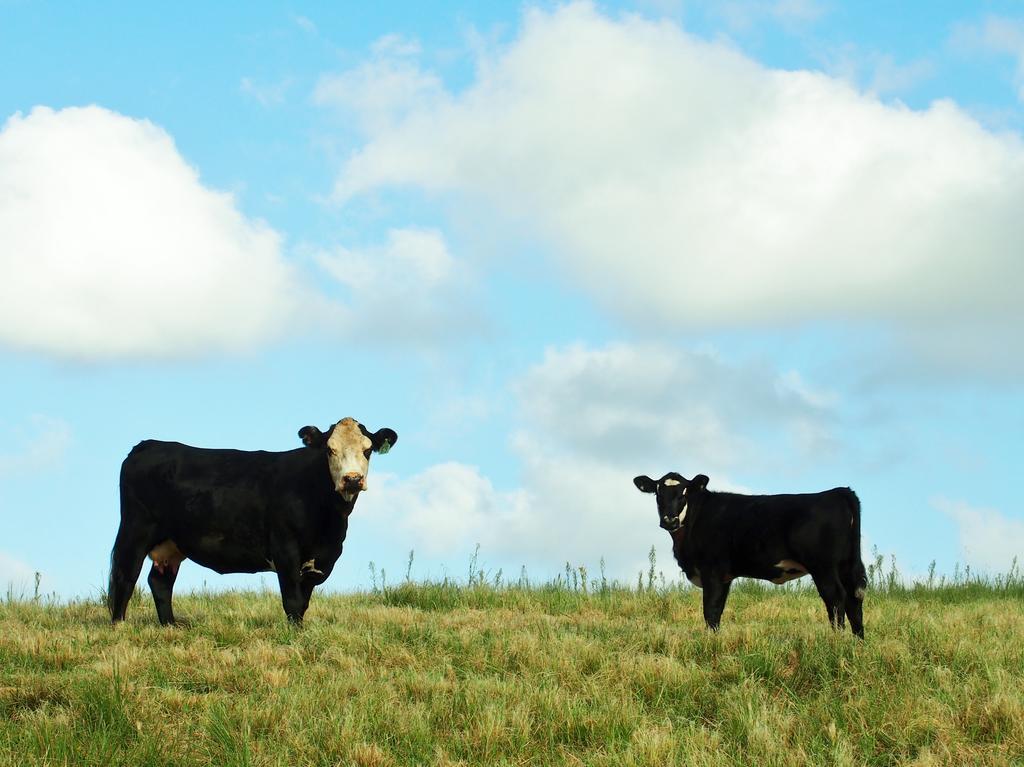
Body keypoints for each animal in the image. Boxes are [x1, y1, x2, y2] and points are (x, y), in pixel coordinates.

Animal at [109, 419, 395, 622]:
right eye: (329, 449)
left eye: (368, 450)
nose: (352, 479)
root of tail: (150, 444)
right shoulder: (284, 547)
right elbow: (292, 599)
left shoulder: (324, 557)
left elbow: (304, 601)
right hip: (135, 530)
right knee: (125, 575)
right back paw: (119, 626)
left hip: (172, 543)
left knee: (160, 582)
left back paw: (170, 625)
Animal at [630, 469, 864, 638]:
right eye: (658, 494)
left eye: (684, 493)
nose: (669, 520)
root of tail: (838, 492)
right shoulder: (724, 576)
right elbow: (718, 611)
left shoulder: (712, 570)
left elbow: (710, 610)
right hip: (846, 564)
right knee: (854, 599)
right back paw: (857, 643)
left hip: (823, 566)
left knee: (836, 598)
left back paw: (837, 640)